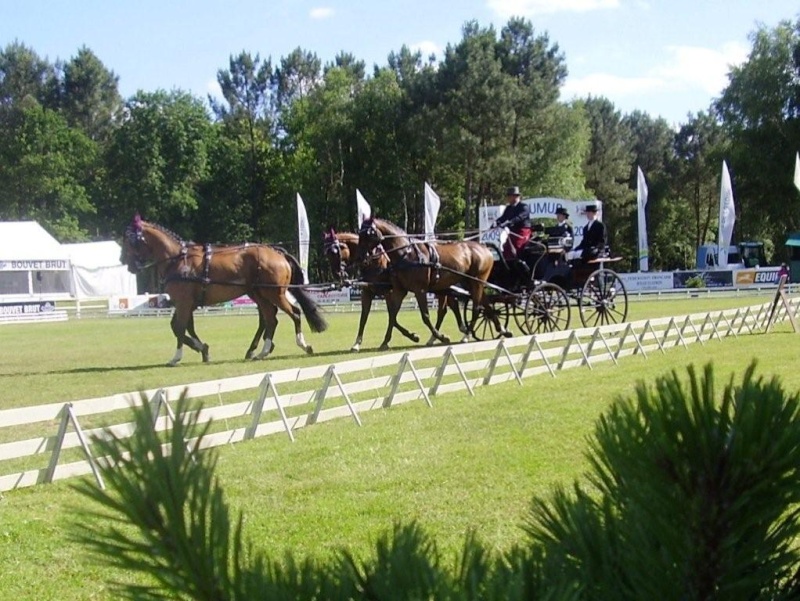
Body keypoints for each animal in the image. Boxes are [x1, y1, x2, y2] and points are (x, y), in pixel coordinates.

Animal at [120, 216, 326, 366]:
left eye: (129, 242)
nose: (125, 262)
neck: (178, 259)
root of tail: (276, 252)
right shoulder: (186, 303)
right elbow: (182, 327)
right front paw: (202, 348)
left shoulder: (184, 302)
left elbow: (179, 327)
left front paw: (178, 356)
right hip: (259, 294)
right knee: (270, 318)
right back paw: (262, 351)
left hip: (274, 293)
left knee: (294, 313)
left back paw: (302, 345)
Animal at [360, 218, 510, 344]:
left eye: (367, 234)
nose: (363, 258)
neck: (407, 253)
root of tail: (483, 246)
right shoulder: (399, 290)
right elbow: (392, 315)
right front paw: (386, 342)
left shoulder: (419, 290)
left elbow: (425, 316)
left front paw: (440, 336)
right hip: (470, 283)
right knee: (486, 304)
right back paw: (501, 329)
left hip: (477, 281)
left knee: (477, 308)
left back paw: (466, 335)